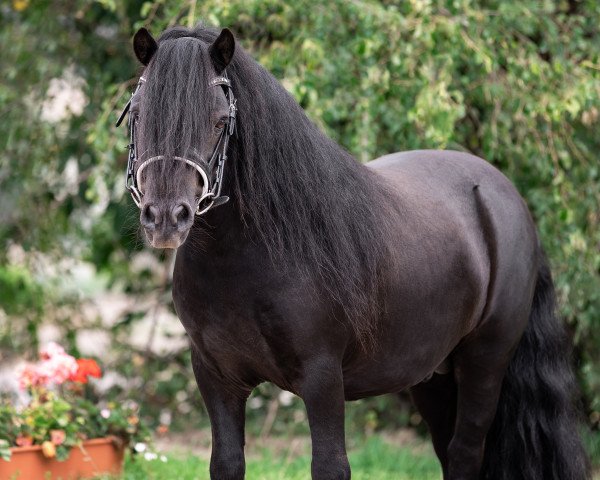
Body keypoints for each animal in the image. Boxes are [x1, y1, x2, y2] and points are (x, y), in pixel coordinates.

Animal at [118, 26, 592, 480]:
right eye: (137, 116)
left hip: (485, 362)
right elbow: (227, 463)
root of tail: (503, 195)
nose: (165, 217)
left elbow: (330, 466)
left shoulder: (324, 378)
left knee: (464, 453)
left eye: (219, 122)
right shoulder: (217, 378)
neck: (248, 260)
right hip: (433, 376)